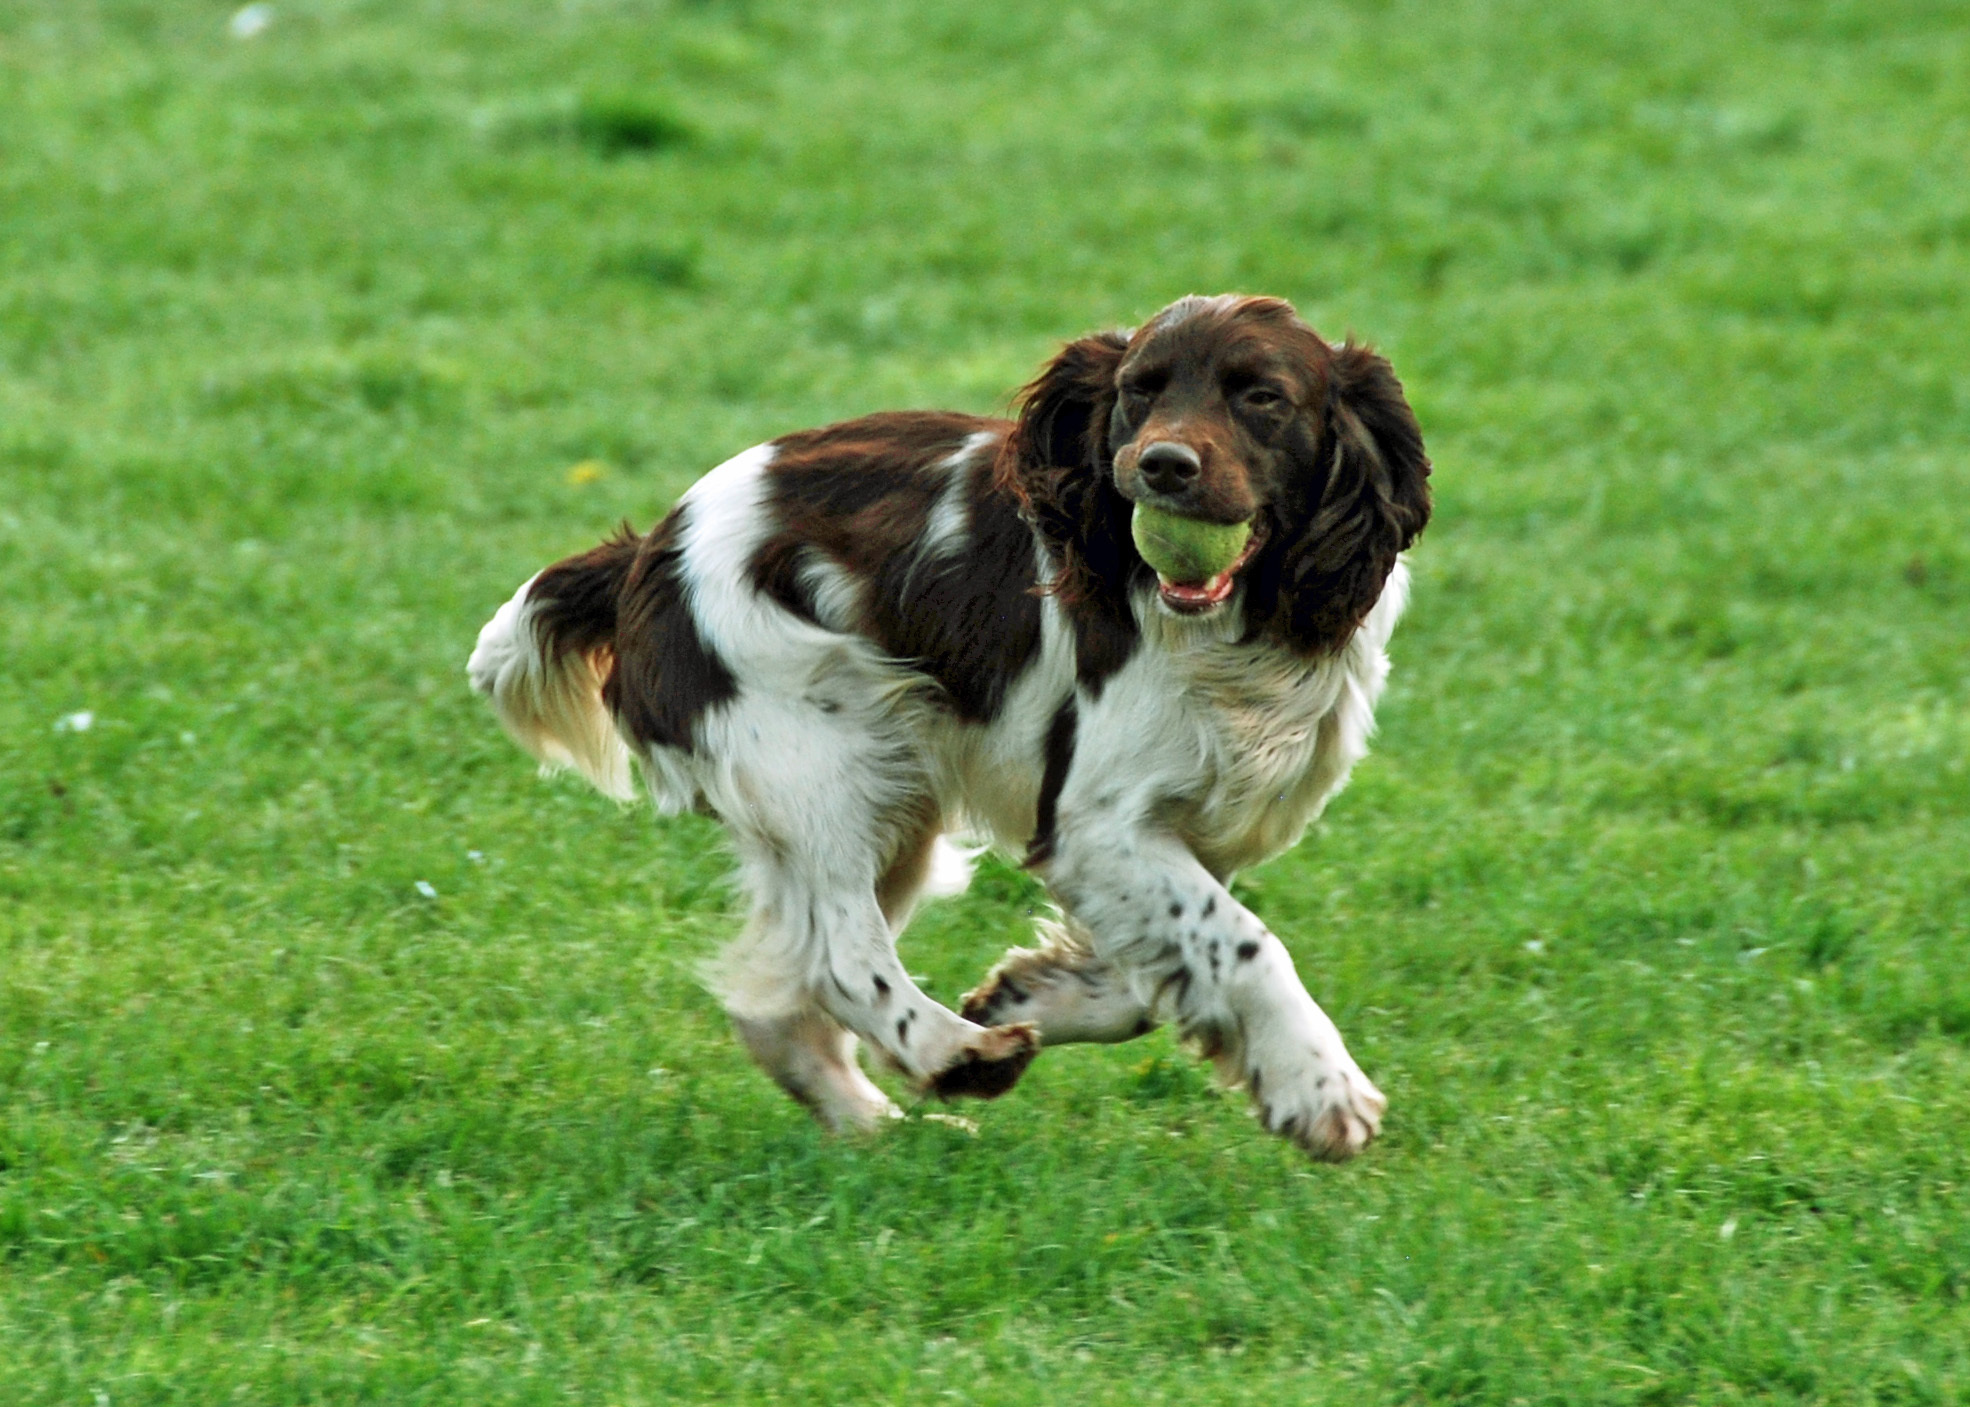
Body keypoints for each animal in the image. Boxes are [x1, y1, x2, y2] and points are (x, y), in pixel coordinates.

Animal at [476, 289, 1434, 1158]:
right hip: (831, 761)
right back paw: (958, 1054)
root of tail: (644, 555)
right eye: (1138, 390)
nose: (1162, 465)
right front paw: (1322, 1091)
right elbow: (1240, 943)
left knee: (779, 1002)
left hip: (884, 809)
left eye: (1262, 396)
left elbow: (1153, 971)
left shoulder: (1195, 823)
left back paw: (881, 1125)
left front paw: (1031, 993)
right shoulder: (1096, 819)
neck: (1246, 631)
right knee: (839, 957)